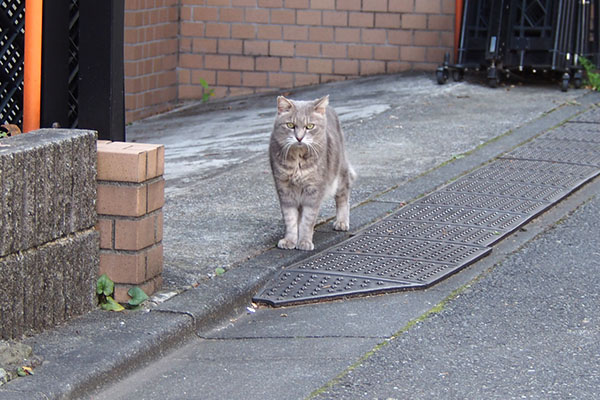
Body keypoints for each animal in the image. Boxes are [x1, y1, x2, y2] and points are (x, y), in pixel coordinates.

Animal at [270, 95, 354, 250]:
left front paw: (304, 241)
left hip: (340, 176)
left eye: (310, 126)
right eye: (290, 125)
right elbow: (290, 219)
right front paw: (290, 240)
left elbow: (307, 220)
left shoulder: (313, 190)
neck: (297, 160)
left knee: (343, 198)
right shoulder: (284, 189)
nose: (299, 138)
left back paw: (341, 222)